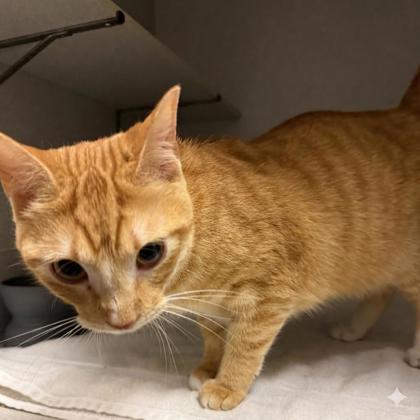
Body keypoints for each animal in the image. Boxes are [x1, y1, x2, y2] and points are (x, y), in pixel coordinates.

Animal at [1, 68, 420, 411]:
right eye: (68, 269)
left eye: (150, 253)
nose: (122, 322)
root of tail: (401, 114)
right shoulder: (210, 307)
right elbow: (215, 335)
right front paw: (208, 368)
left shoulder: (270, 295)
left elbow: (245, 343)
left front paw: (228, 384)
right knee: (380, 290)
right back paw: (353, 330)